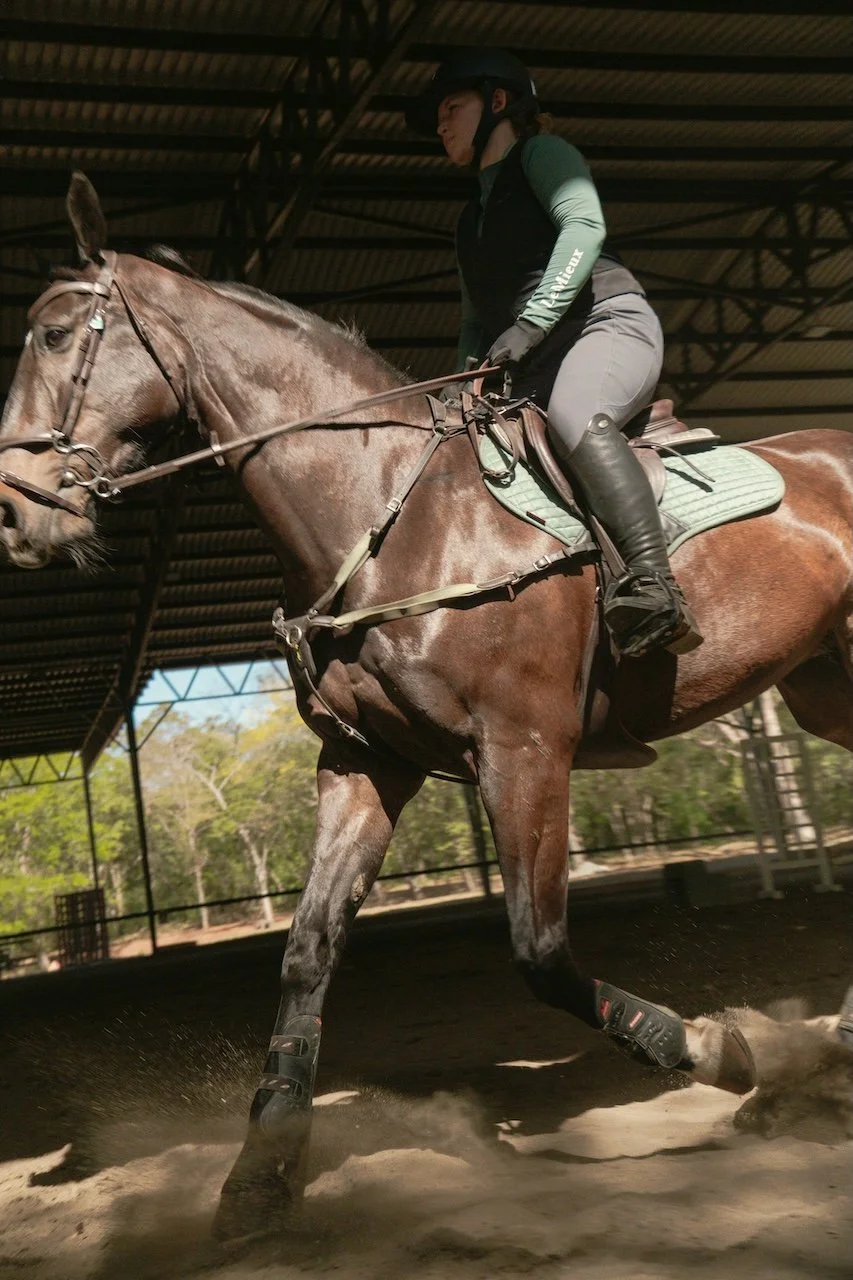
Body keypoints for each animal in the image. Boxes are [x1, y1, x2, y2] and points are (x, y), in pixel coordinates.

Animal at [1, 175, 851, 1241]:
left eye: (55, 334)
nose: (14, 512)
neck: (389, 513)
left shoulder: (523, 751)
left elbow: (538, 951)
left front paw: (716, 1050)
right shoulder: (367, 764)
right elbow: (305, 956)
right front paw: (260, 1174)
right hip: (824, 687)